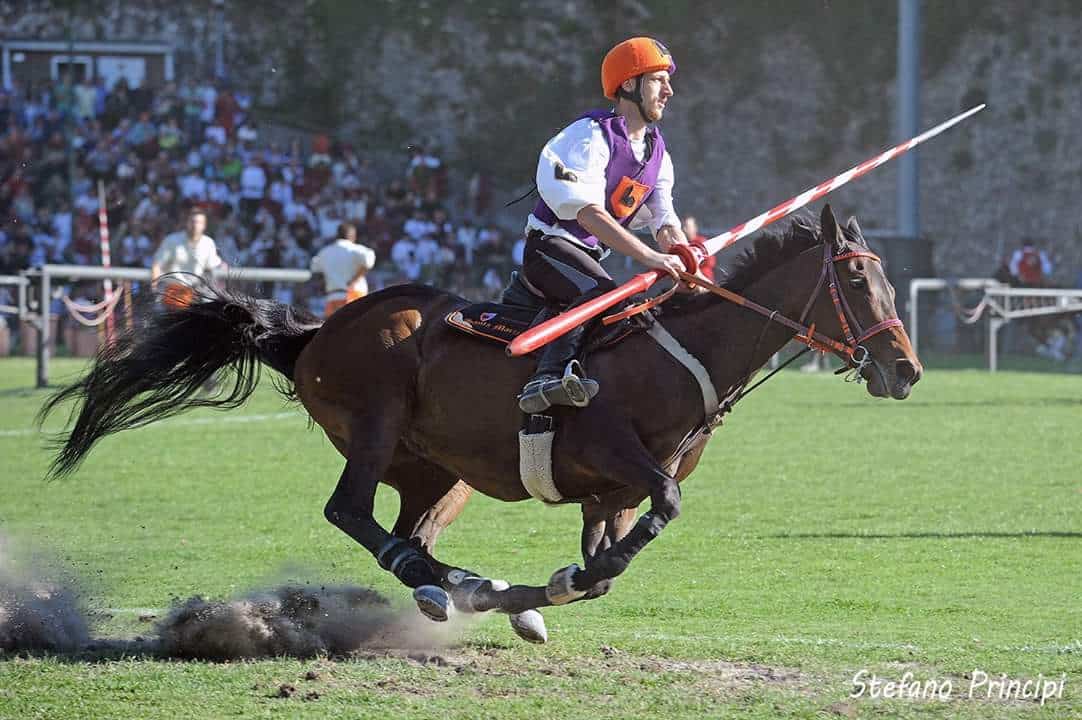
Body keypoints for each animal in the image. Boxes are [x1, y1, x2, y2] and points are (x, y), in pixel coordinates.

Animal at [41, 204, 922, 642]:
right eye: (856, 279)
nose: (906, 370)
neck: (681, 353)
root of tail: (312, 332)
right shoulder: (616, 458)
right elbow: (660, 511)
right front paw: (542, 585)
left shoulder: (607, 498)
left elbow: (601, 572)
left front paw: (543, 590)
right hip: (374, 424)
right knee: (351, 512)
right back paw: (443, 583)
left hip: (441, 470)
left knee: (411, 530)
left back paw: (467, 586)